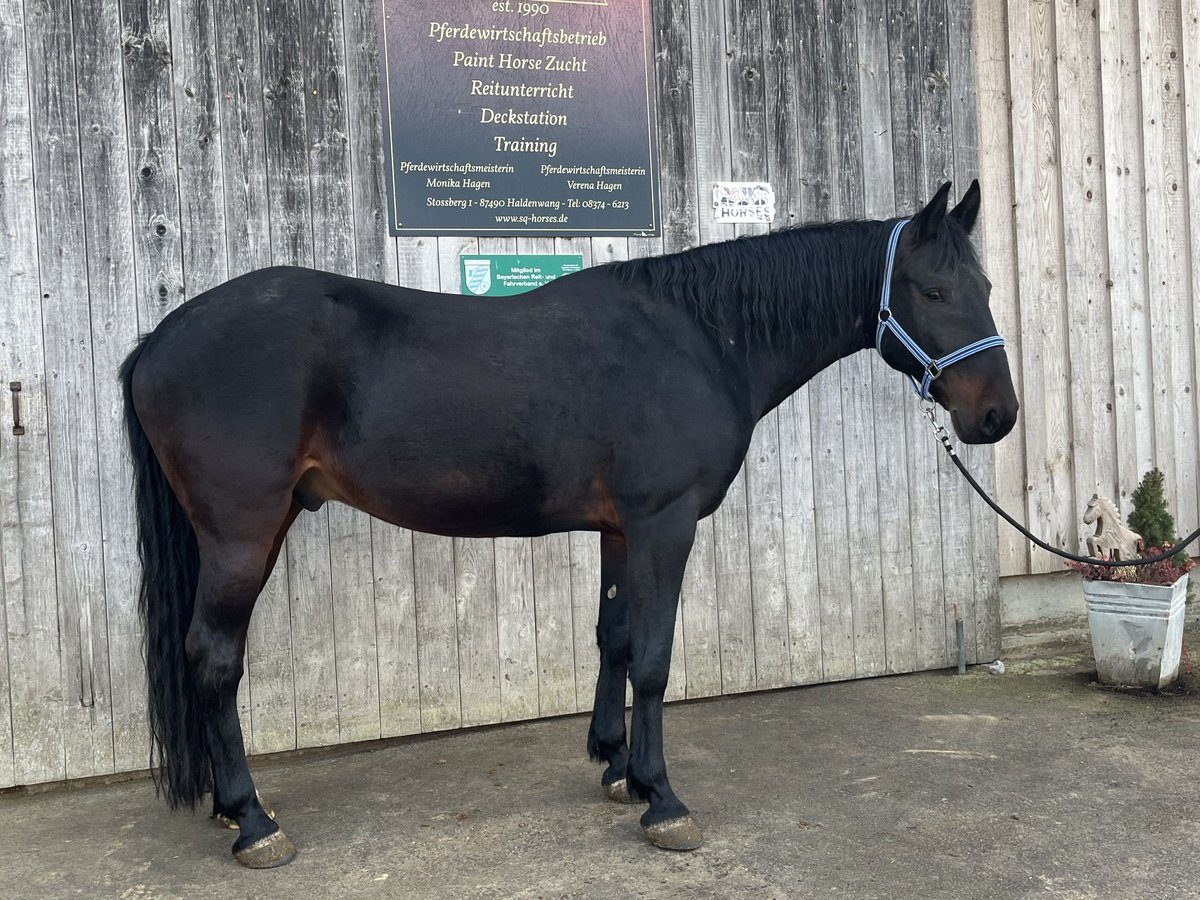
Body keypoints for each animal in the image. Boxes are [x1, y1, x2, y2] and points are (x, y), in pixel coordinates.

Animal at [121, 181, 1017, 868]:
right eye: (933, 292)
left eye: (986, 290)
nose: (996, 417)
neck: (698, 340)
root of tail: (161, 337)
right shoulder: (664, 525)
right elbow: (653, 657)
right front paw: (664, 801)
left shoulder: (621, 531)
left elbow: (613, 639)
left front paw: (617, 768)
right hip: (242, 536)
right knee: (214, 659)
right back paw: (252, 821)